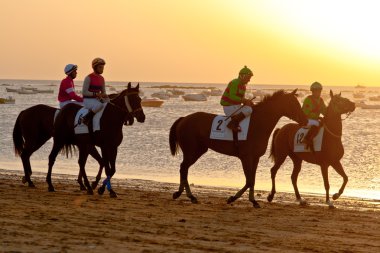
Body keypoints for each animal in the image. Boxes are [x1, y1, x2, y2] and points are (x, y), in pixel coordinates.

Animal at [169, 89, 308, 208]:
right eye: (293, 103)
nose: (305, 120)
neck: (258, 124)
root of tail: (184, 118)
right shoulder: (245, 157)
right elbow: (249, 180)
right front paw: (234, 198)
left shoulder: (255, 158)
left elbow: (252, 179)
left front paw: (253, 201)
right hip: (191, 151)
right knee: (183, 168)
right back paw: (188, 195)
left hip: (198, 150)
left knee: (184, 168)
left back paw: (182, 194)